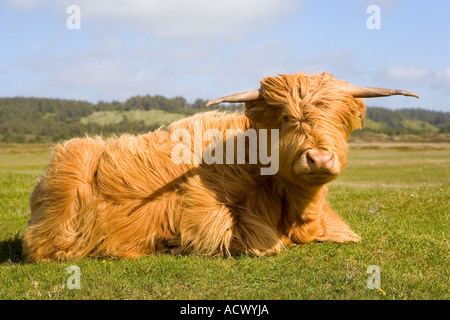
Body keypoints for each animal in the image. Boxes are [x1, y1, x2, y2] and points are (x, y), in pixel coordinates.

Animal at [23, 72, 418, 260]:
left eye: (339, 119)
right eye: (287, 118)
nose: (319, 157)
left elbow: (343, 233)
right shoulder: (203, 205)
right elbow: (260, 241)